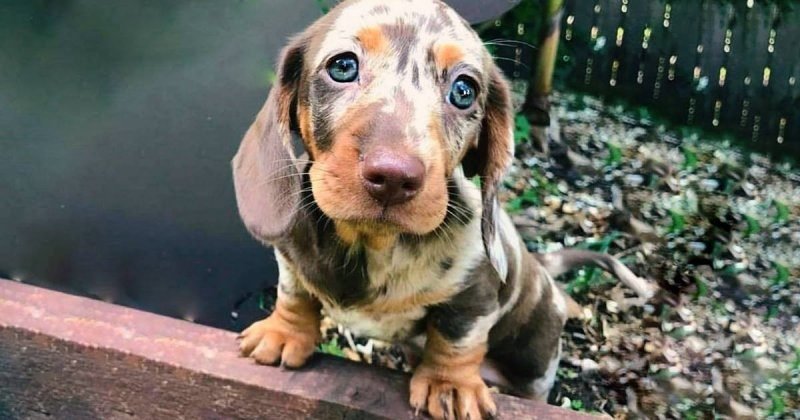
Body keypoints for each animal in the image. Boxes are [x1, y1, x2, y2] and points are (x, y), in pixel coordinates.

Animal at [233, 1, 656, 418]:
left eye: (464, 90)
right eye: (343, 66)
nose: (394, 177)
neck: (373, 245)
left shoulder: (476, 294)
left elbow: (457, 336)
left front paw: (450, 385)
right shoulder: (290, 261)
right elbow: (294, 295)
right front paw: (283, 333)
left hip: (535, 366)